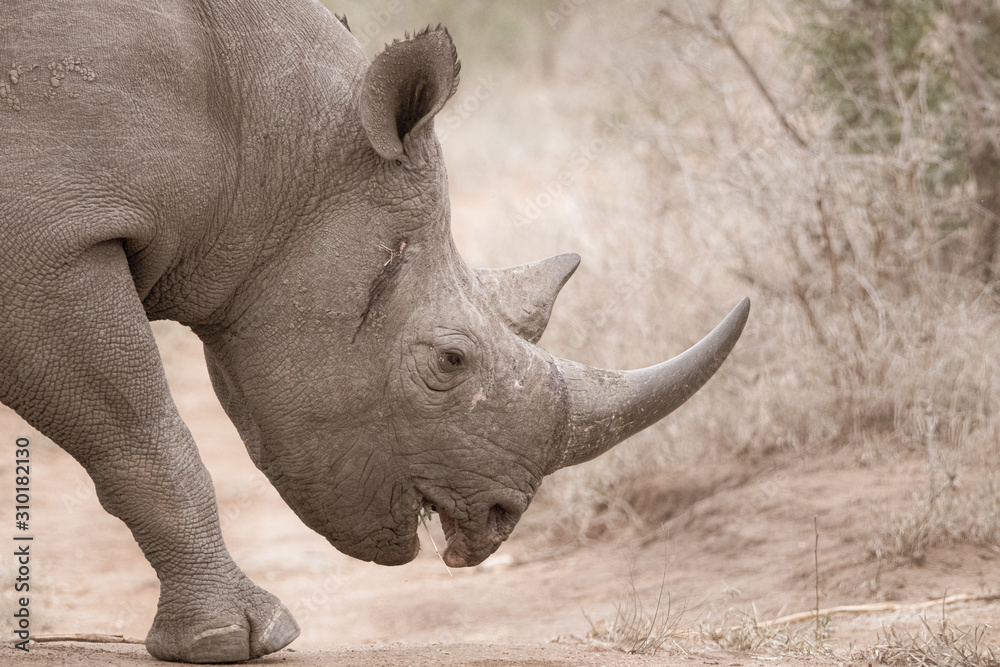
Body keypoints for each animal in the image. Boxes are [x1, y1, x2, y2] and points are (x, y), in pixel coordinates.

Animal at [0, 0, 749, 662]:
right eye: (450, 359)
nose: (500, 519)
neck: (262, 143)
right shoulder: (45, 246)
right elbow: (145, 438)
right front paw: (239, 640)